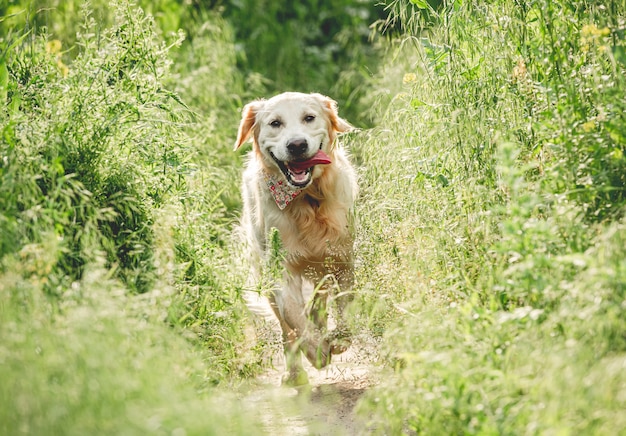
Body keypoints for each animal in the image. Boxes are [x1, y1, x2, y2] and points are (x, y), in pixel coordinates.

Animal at [233, 92, 356, 384]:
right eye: (275, 123)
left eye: (309, 118)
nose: (297, 145)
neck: (308, 200)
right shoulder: (280, 269)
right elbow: (294, 318)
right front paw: (317, 352)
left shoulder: (343, 258)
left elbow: (346, 304)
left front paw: (338, 339)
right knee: (286, 327)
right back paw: (295, 373)